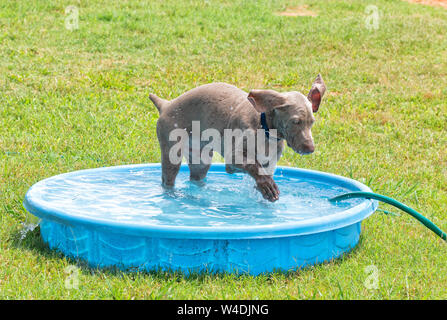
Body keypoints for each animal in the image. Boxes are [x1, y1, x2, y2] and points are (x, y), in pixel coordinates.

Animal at [149, 74, 328, 201]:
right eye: (295, 121)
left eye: (311, 122)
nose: (310, 149)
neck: (264, 128)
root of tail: (166, 104)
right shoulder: (233, 160)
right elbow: (254, 166)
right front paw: (267, 185)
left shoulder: (270, 161)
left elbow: (263, 171)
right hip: (171, 152)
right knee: (168, 180)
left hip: (200, 157)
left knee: (196, 177)